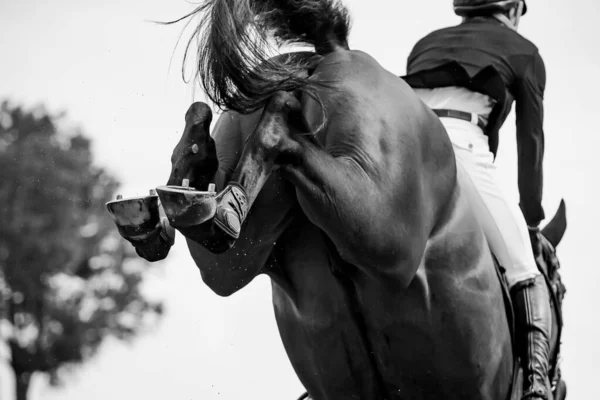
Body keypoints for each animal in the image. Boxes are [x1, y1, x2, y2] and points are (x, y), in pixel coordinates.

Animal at [124, 1, 568, 398]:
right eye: (561, 291)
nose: (556, 387)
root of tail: (333, 50)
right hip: (381, 230)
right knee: (288, 139)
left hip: (236, 256)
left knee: (218, 236)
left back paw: (184, 200)